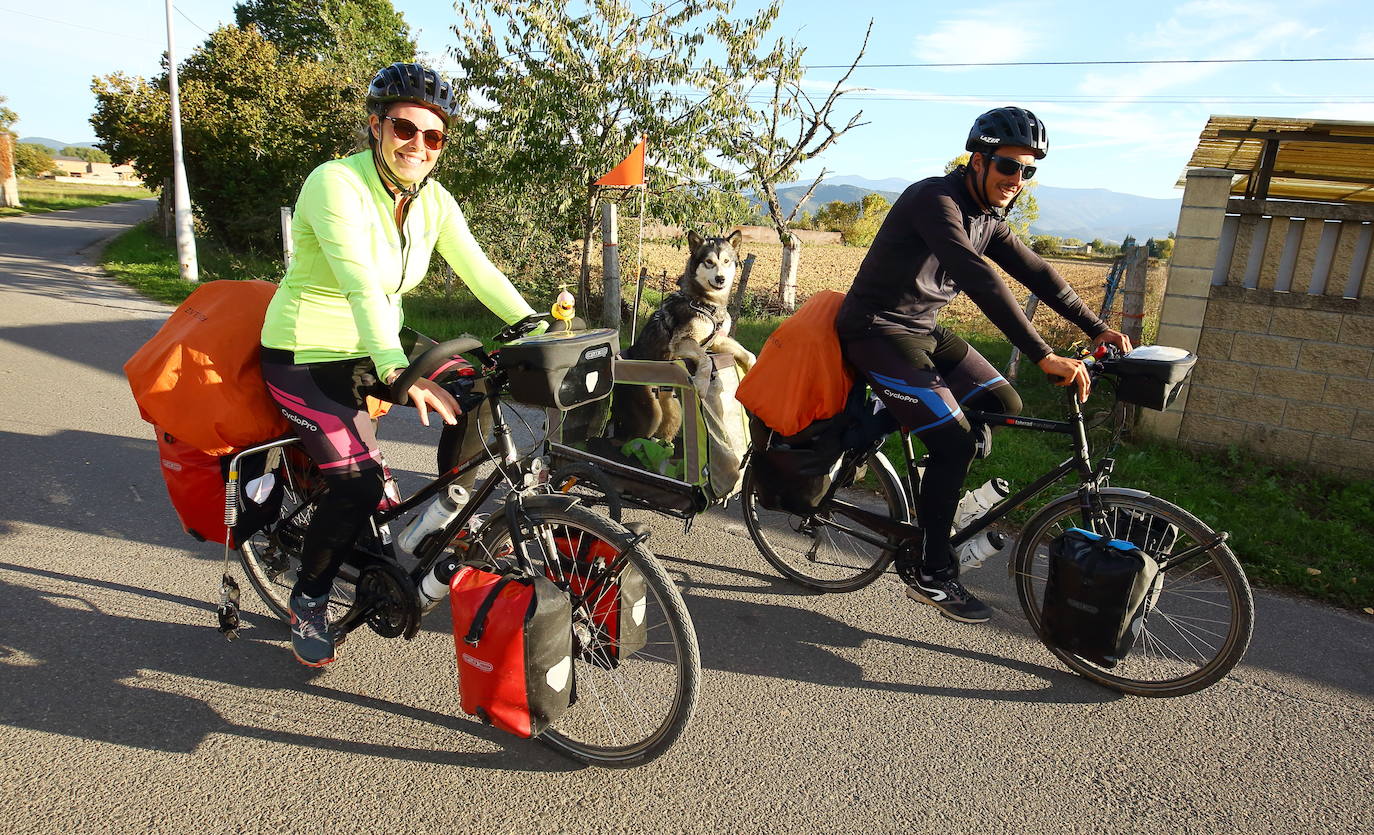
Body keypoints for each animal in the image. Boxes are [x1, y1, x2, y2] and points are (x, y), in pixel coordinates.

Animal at [618, 225, 758, 439]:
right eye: (709, 262)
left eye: (726, 261)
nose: (720, 278)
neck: (708, 304)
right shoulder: (682, 341)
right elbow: (707, 360)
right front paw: (701, 385)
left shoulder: (718, 341)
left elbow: (750, 355)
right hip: (651, 414)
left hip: (674, 408)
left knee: (665, 433)